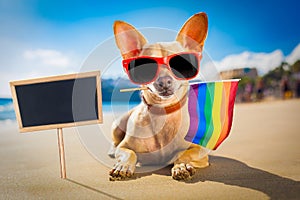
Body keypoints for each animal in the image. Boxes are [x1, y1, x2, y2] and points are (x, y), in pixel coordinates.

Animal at [108, 12, 209, 181]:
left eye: (180, 64)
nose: (164, 81)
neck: (163, 113)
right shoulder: (124, 147)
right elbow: (130, 153)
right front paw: (123, 166)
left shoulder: (201, 151)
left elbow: (182, 154)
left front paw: (181, 166)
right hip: (117, 125)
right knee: (115, 142)